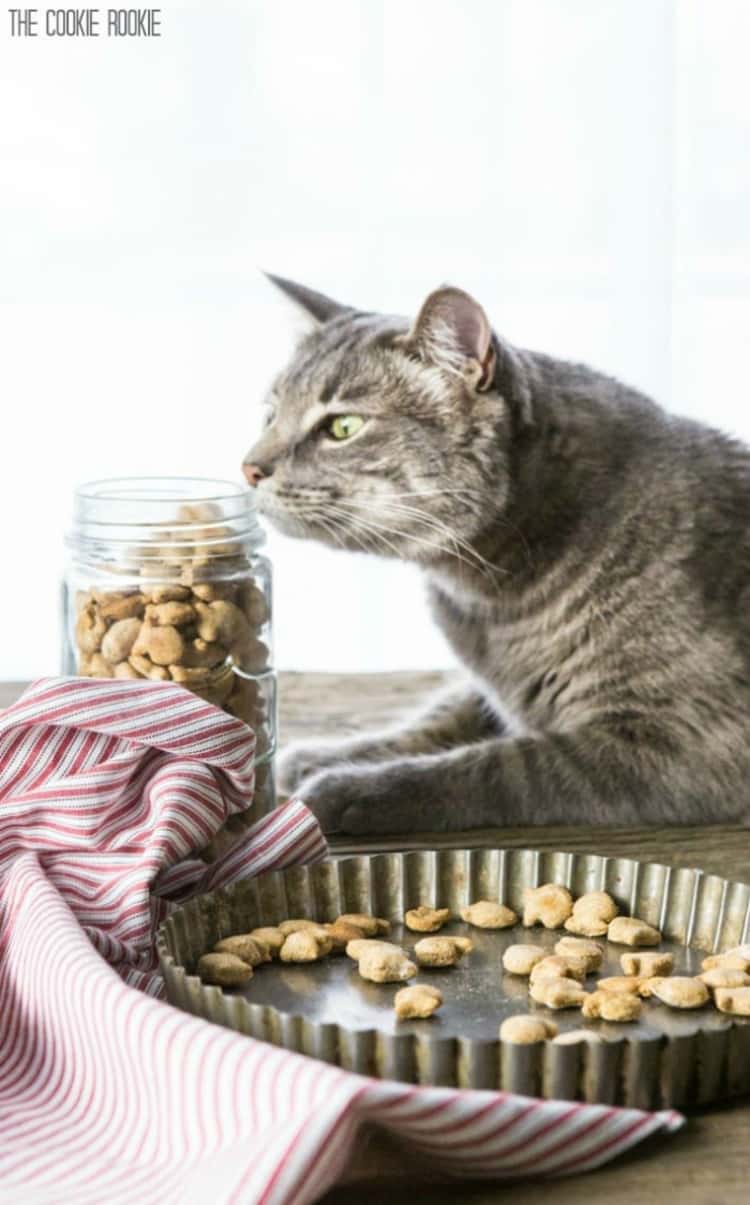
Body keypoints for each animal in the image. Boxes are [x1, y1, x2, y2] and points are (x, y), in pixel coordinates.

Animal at [243, 275, 747, 838]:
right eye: (270, 415)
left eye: (343, 427)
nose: (249, 467)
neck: (487, 604)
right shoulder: (489, 686)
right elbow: (445, 714)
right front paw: (333, 755)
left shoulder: (684, 743)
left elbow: (501, 765)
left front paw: (350, 788)